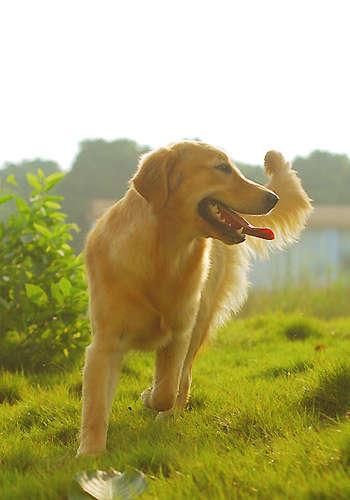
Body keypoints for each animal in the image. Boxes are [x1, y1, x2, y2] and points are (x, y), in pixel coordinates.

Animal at [77, 142, 312, 458]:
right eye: (222, 167)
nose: (272, 198)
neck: (162, 255)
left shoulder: (179, 333)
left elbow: (166, 390)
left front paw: (149, 397)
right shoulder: (105, 344)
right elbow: (95, 406)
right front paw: (90, 453)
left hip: (201, 320)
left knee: (183, 378)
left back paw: (167, 414)